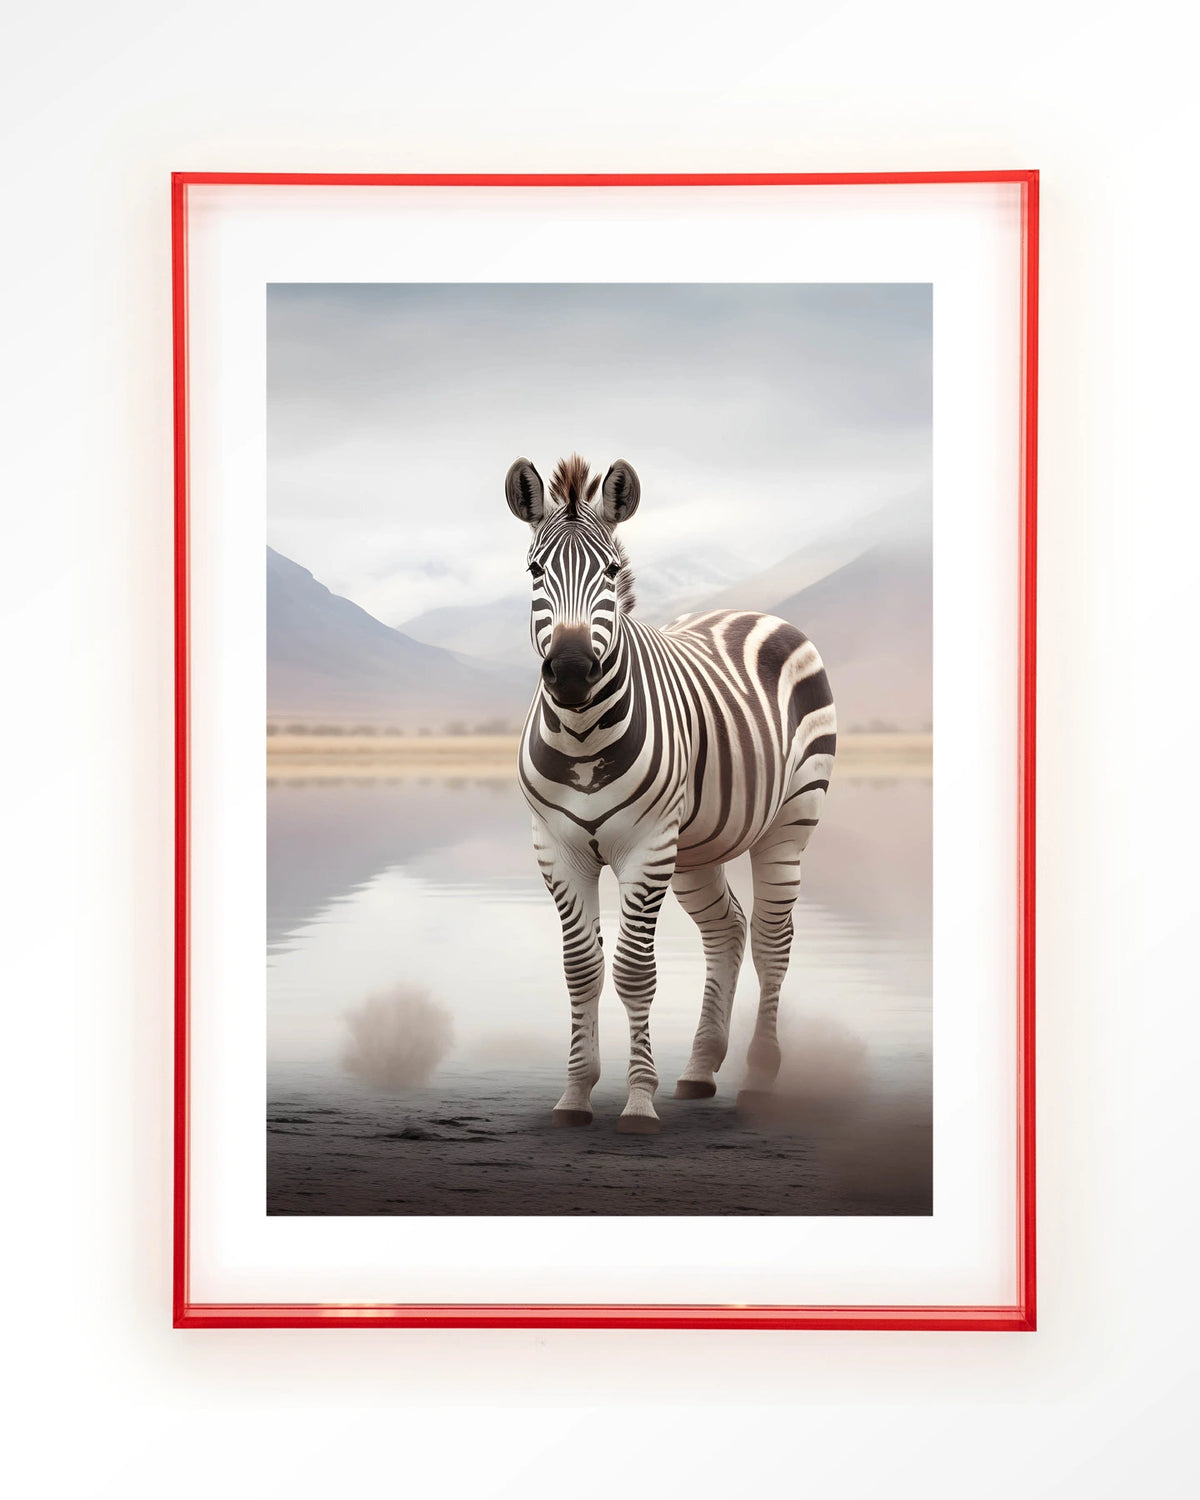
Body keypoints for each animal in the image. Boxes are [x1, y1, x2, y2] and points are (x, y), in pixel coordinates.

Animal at [507, 453, 836, 1134]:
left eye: (610, 571)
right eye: (534, 571)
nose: (571, 671)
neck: (582, 735)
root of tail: (753, 611)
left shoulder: (645, 846)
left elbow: (634, 972)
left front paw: (638, 1102)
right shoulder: (557, 849)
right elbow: (581, 970)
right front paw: (575, 1094)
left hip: (790, 822)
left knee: (772, 941)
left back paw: (758, 1079)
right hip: (696, 849)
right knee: (728, 930)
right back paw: (700, 1069)